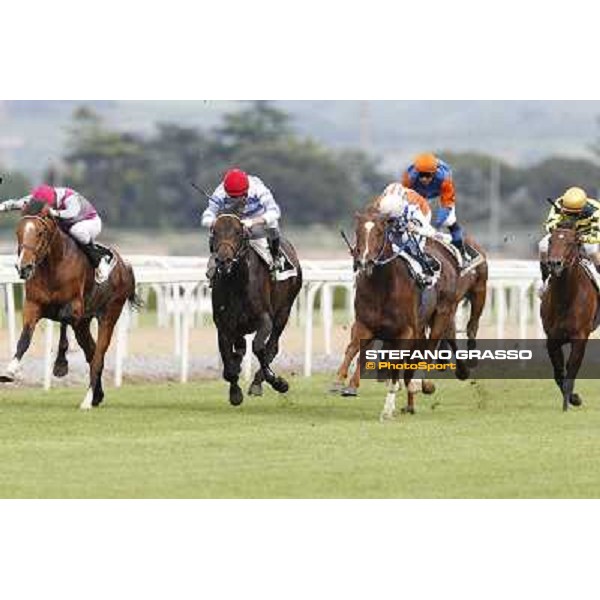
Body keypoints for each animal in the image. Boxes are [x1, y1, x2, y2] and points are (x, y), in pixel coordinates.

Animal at [0, 202, 139, 408]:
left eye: (40, 232)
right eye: (18, 232)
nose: (24, 267)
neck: (53, 266)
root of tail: (125, 266)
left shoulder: (75, 307)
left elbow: (63, 321)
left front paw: (60, 364)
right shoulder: (33, 305)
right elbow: (24, 338)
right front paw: (10, 371)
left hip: (109, 314)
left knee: (98, 356)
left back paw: (87, 400)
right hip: (83, 324)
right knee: (92, 352)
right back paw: (97, 395)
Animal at [211, 213, 304, 406]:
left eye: (238, 232)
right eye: (214, 232)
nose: (224, 261)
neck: (238, 283)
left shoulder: (265, 319)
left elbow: (259, 347)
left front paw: (277, 381)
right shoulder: (223, 325)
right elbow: (228, 363)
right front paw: (235, 392)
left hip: (284, 311)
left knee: (272, 346)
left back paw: (258, 381)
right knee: (241, 347)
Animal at [332, 207, 464, 418]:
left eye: (379, 232)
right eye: (358, 232)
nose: (364, 261)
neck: (382, 287)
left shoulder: (405, 331)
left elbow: (396, 365)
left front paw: (387, 409)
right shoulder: (364, 324)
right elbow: (353, 348)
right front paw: (341, 382)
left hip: (442, 314)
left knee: (429, 346)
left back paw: (421, 384)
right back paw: (410, 402)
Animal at [540, 223, 596, 410]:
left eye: (571, 243)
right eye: (551, 240)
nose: (554, 263)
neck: (566, 299)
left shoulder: (580, 337)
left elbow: (571, 369)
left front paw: (568, 404)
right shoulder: (552, 338)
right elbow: (559, 373)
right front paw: (573, 398)